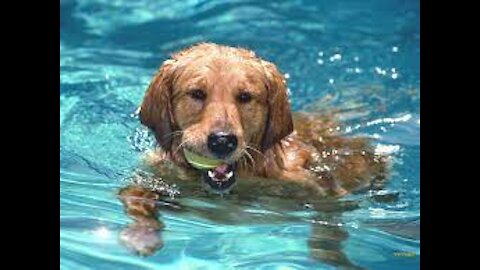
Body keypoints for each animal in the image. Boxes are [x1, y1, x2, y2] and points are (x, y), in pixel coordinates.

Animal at [118, 42, 388, 268]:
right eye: (196, 93)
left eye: (245, 97)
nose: (222, 141)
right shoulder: (157, 174)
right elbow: (133, 193)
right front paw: (142, 234)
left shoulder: (323, 191)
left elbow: (329, 225)